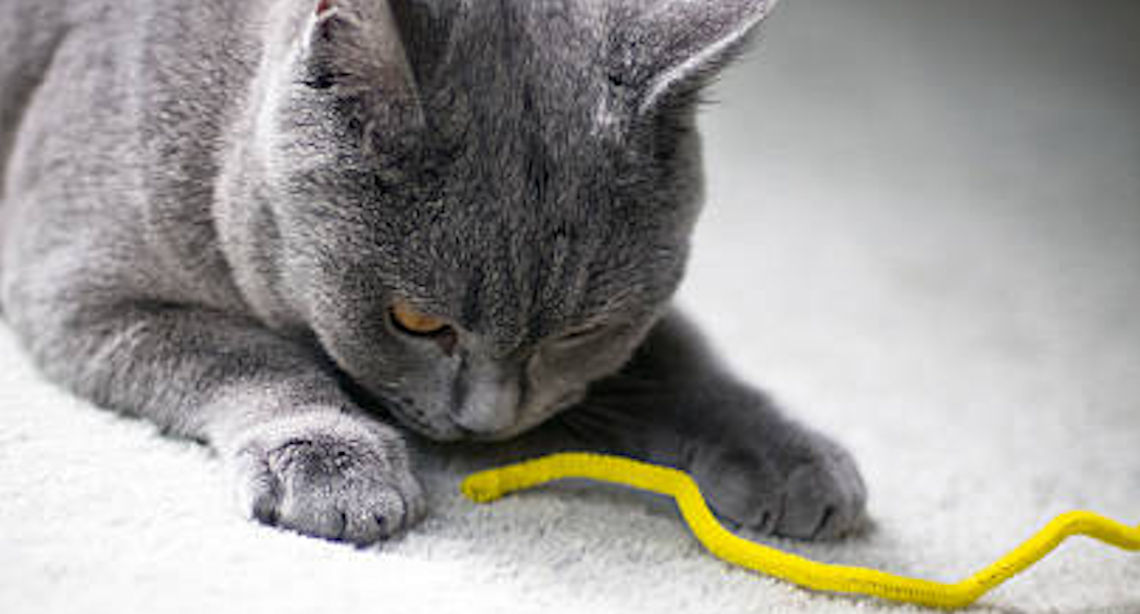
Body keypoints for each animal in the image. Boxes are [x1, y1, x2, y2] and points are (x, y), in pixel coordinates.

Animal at [0, 0, 861, 544]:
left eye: (580, 331)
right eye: (416, 322)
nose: (490, 421)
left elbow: (678, 357)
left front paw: (787, 453)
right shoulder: (78, 286)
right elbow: (243, 353)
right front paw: (333, 465)